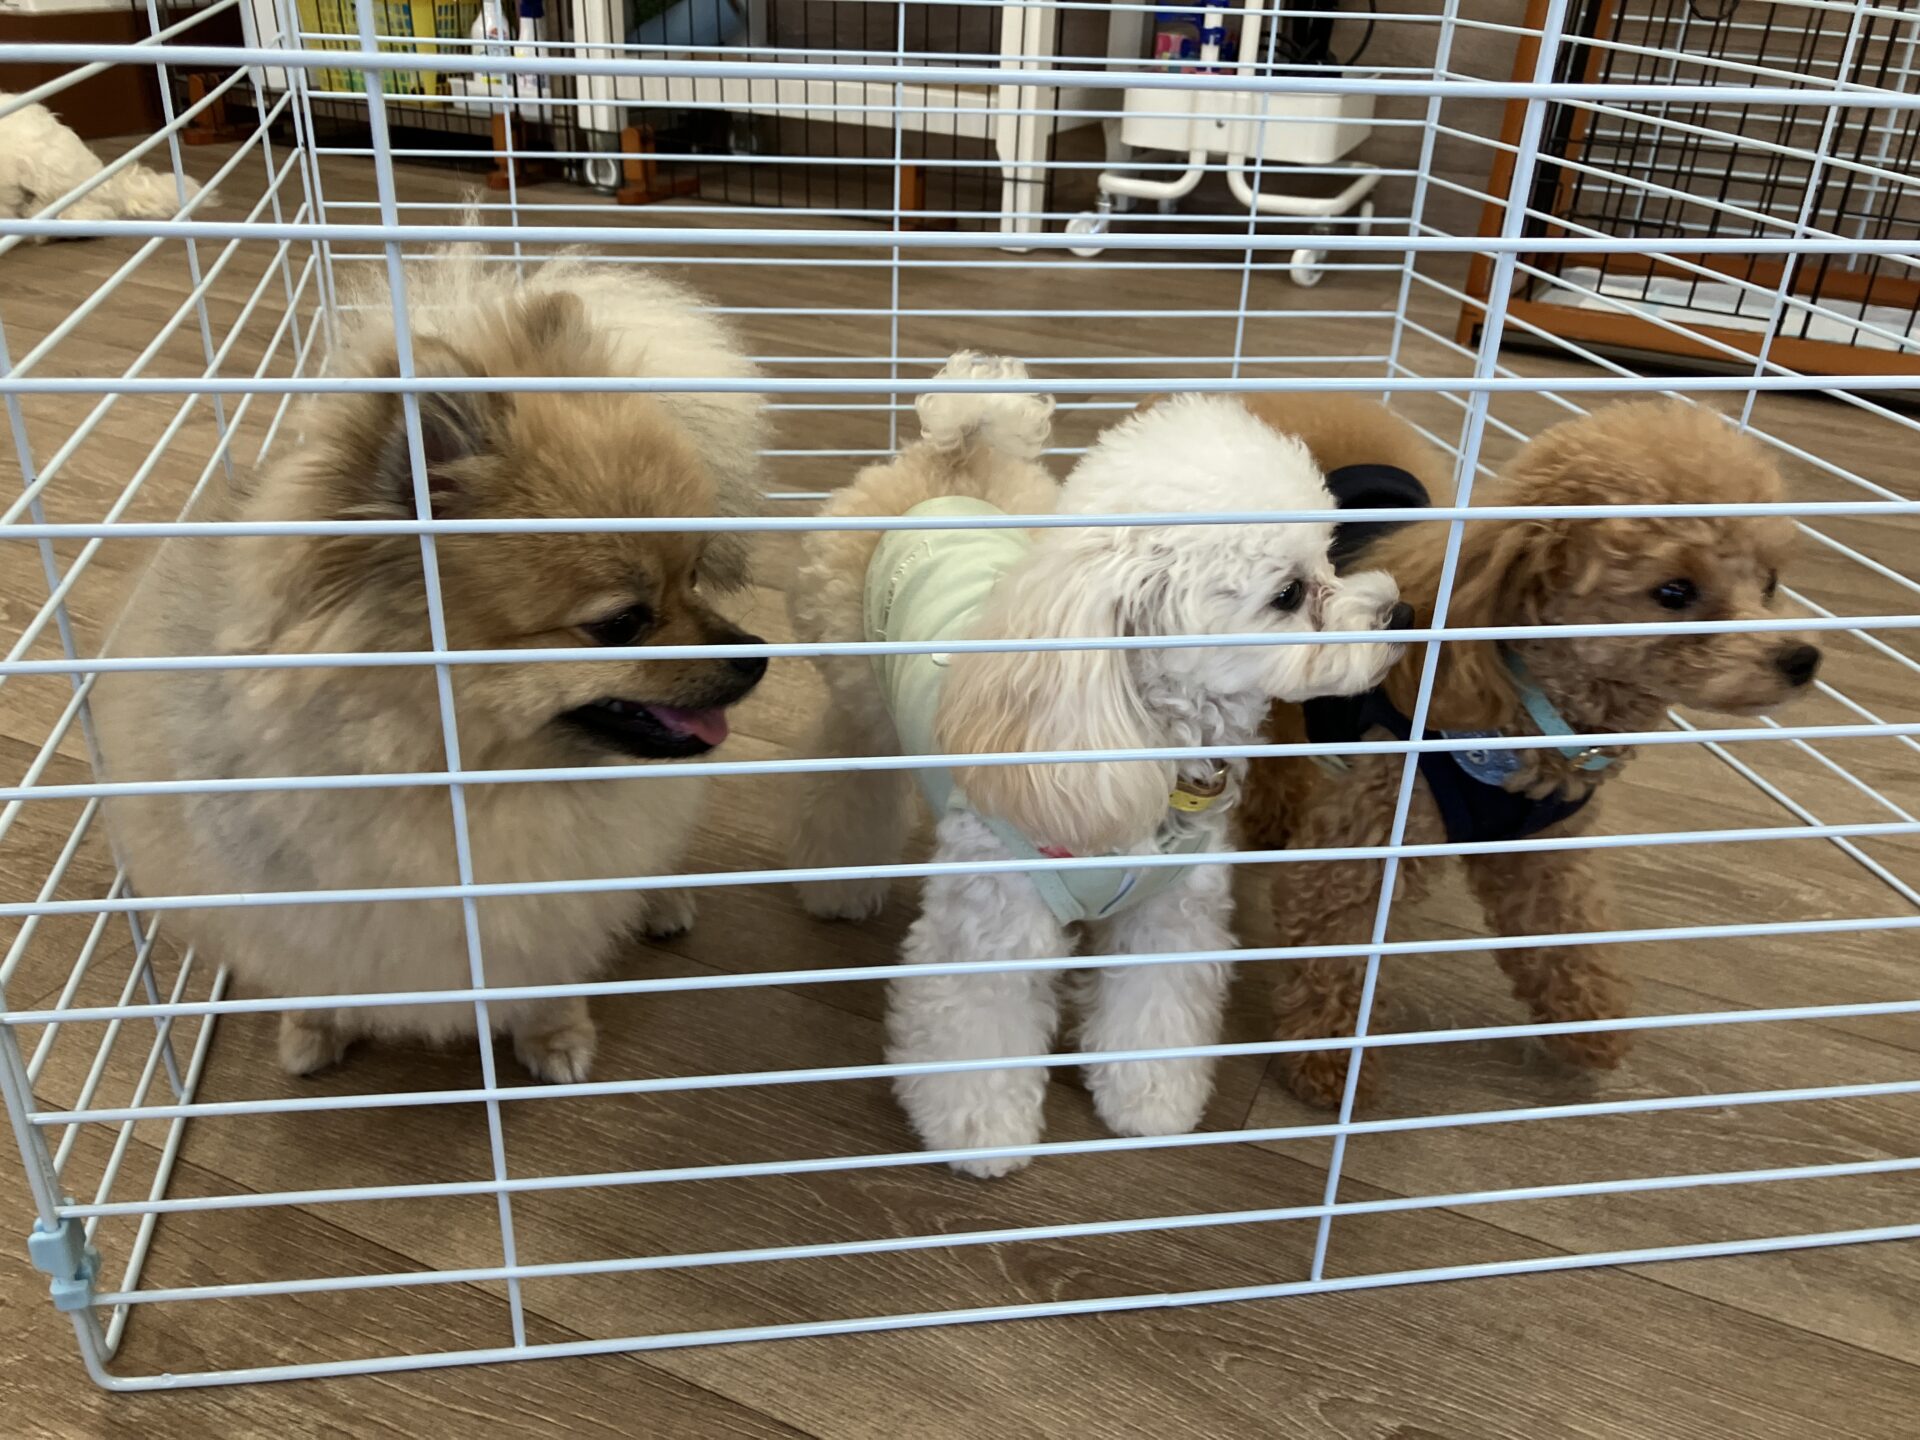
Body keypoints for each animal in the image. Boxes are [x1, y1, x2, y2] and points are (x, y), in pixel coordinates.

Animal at [93, 244, 767, 1082]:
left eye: (696, 575)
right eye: (622, 624)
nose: (757, 655)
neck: (450, 787)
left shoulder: (546, 897)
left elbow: (548, 968)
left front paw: (555, 1037)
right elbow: (314, 966)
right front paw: (312, 1025)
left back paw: (662, 900)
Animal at [788, 355, 1411, 1175]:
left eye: (1334, 557)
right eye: (1288, 593)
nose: (1398, 614)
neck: (1146, 738)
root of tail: (955, 454)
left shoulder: (1170, 912)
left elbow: (1155, 1010)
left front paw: (1150, 1104)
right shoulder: (994, 925)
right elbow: (978, 1034)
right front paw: (982, 1134)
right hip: (860, 696)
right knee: (844, 780)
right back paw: (835, 881)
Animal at [1233, 394, 1821, 1108]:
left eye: (1770, 582)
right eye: (1674, 592)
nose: (1801, 659)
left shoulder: (1543, 847)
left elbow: (1566, 935)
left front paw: (1589, 1025)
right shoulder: (1369, 843)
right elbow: (1335, 945)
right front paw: (1331, 1066)